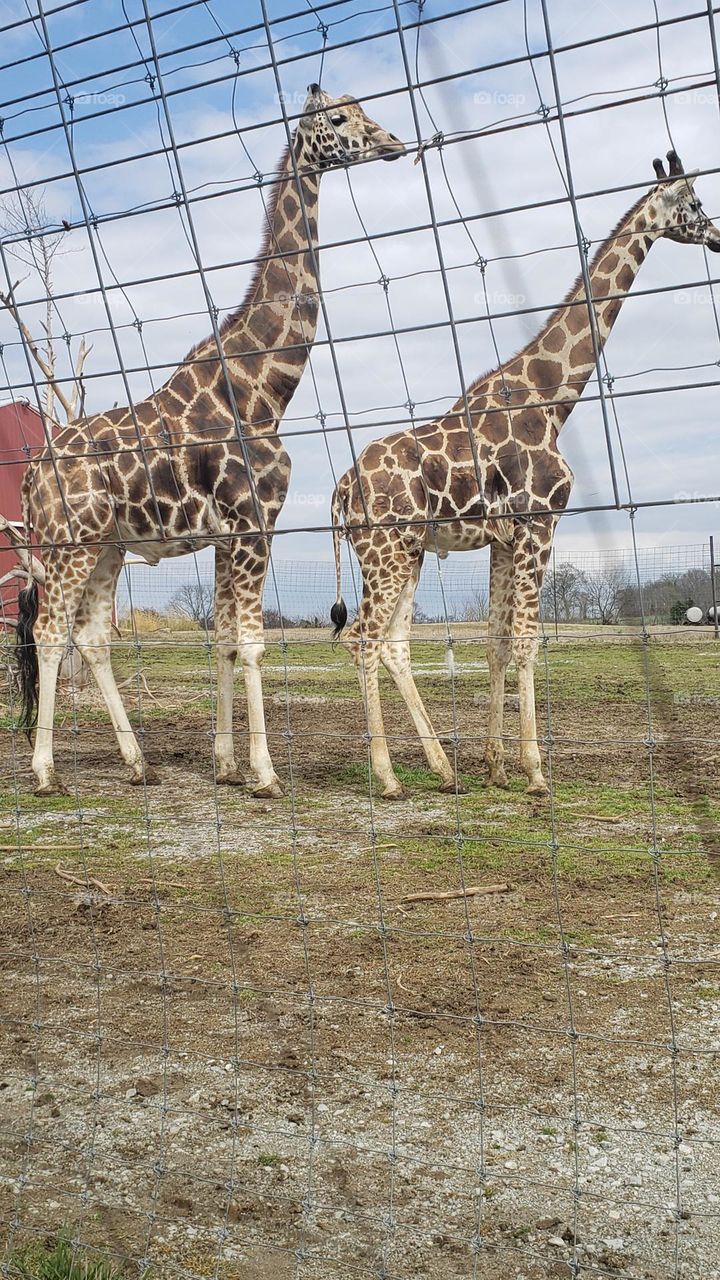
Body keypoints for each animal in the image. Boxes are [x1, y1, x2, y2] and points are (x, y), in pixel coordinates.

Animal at [15, 85, 404, 796]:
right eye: (339, 119)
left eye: (366, 111)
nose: (394, 142)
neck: (261, 391)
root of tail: (30, 474)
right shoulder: (256, 523)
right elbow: (249, 641)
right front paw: (266, 773)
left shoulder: (230, 535)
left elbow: (222, 638)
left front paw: (226, 764)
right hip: (68, 542)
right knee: (52, 631)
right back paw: (46, 772)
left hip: (109, 546)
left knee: (92, 635)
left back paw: (138, 763)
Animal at [330, 151, 720, 799]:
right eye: (692, 201)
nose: (716, 234)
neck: (553, 399)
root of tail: (337, 495)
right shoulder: (541, 524)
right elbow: (527, 640)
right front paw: (536, 772)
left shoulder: (502, 540)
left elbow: (495, 641)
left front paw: (494, 766)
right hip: (383, 553)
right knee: (364, 638)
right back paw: (387, 778)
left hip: (406, 553)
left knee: (394, 644)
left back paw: (444, 770)